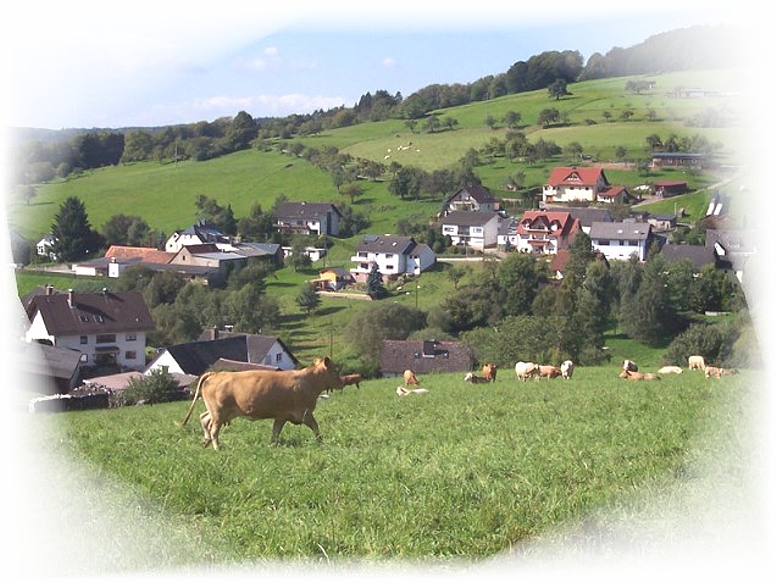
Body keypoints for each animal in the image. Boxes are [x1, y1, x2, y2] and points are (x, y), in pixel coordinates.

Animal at [180, 356, 343, 450]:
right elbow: (316, 428)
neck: (309, 381)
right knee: (213, 429)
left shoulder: (281, 416)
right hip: (219, 412)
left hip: (218, 412)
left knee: (203, 418)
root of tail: (216, 374)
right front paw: (321, 443)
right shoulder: (305, 413)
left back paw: (206, 441)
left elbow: (275, 432)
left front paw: (272, 445)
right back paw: (217, 448)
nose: (342, 382)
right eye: (335, 370)